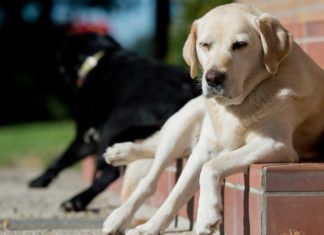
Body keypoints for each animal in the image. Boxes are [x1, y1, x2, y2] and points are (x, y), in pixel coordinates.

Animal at [29, 32, 199, 211]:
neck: (97, 57)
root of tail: (183, 93)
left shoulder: (85, 136)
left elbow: (60, 159)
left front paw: (41, 179)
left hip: (112, 128)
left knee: (111, 173)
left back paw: (77, 200)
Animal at [102, 2, 324, 235]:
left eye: (240, 44)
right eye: (205, 45)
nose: (213, 78)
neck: (238, 106)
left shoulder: (275, 144)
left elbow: (210, 167)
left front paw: (206, 216)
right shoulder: (206, 146)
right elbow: (177, 192)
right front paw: (151, 227)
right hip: (183, 122)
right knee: (151, 173)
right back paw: (120, 191)